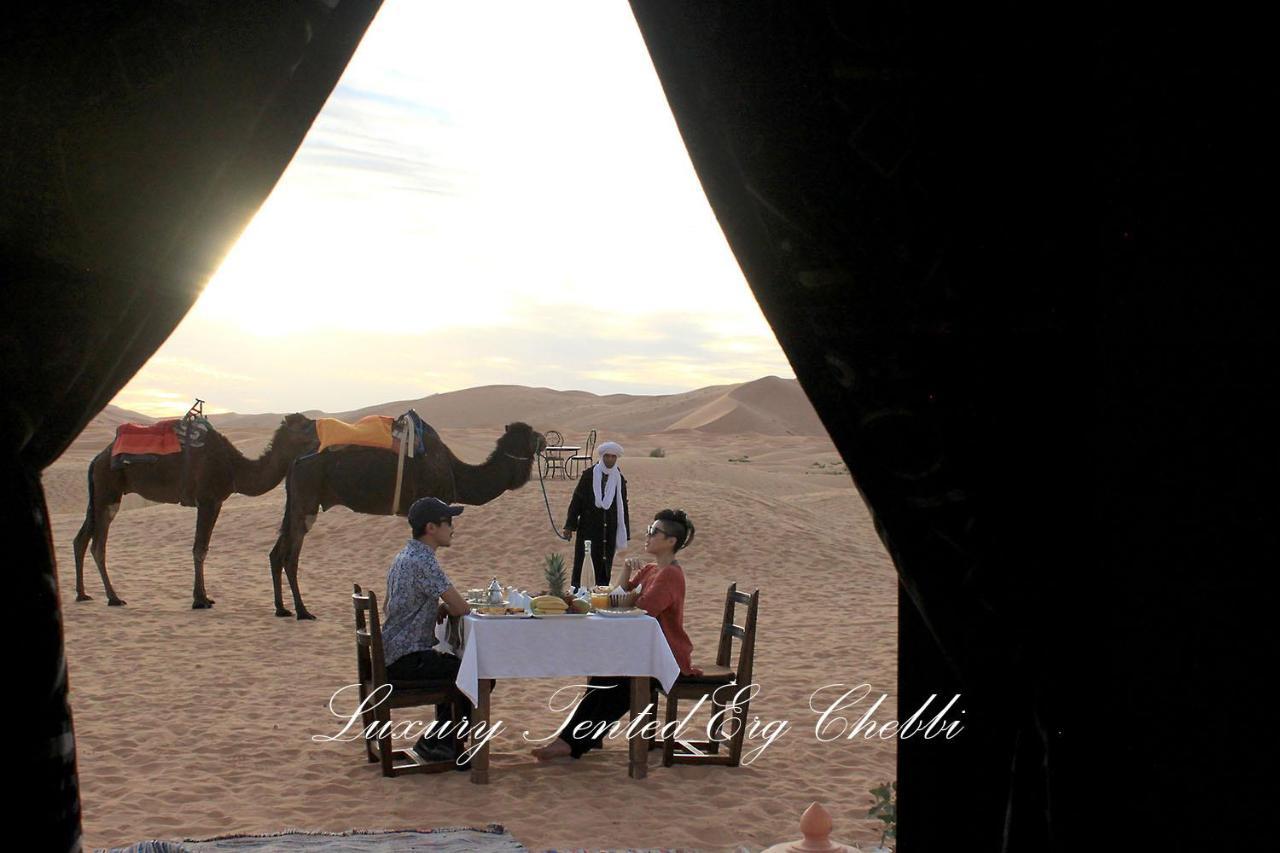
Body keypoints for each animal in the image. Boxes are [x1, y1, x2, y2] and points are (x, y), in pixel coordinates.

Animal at [73, 412, 320, 604]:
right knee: (98, 545)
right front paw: (200, 600)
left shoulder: (217, 502)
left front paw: (202, 596)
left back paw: (82, 594)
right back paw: (113, 597)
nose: (321, 437)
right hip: (107, 491)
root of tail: (97, 458)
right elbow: (199, 549)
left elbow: (202, 547)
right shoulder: (208, 500)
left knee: (81, 539)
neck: (234, 468)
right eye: (305, 425)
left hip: (99, 495)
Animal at [267, 417, 547, 617]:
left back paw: (282, 609)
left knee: (277, 552)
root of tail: (296, 460)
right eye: (531, 434)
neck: (456, 473)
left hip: (297, 502)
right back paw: (302, 611)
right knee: (290, 555)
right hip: (306, 500)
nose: (545, 438)